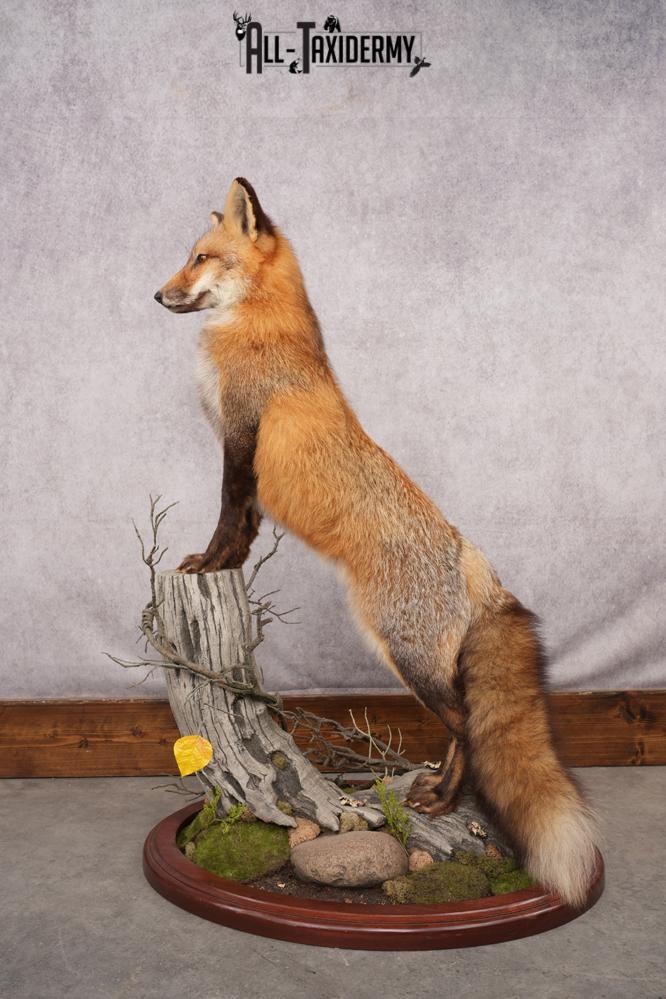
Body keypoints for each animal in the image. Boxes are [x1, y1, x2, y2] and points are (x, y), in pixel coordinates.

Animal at [154, 177, 598, 908]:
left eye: (200, 259)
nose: (158, 296)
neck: (255, 328)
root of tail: (470, 557)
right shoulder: (245, 460)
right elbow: (244, 531)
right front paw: (226, 565)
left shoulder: (241, 439)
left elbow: (225, 519)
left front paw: (206, 564)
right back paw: (440, 792)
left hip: (403, 652)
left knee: (465, 723)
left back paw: (444, 799)